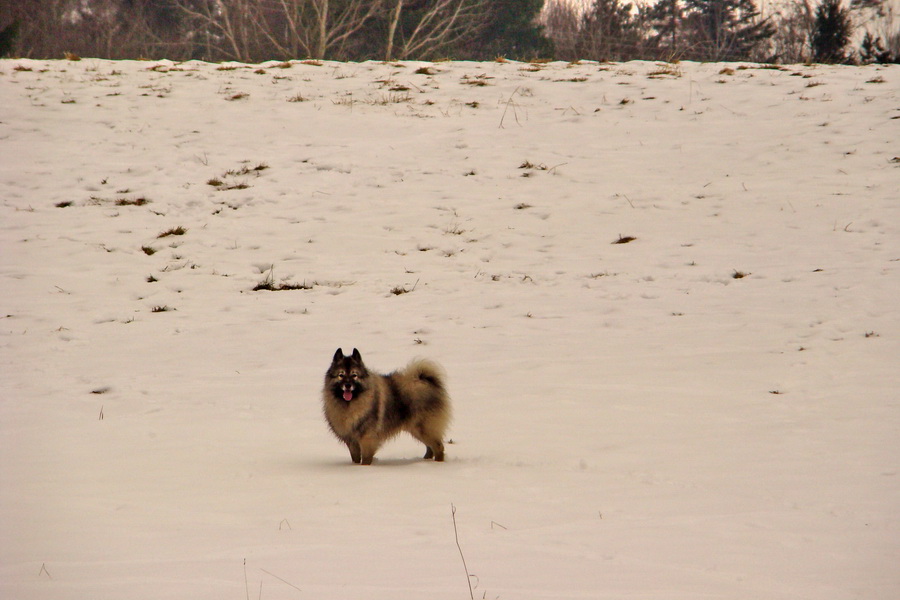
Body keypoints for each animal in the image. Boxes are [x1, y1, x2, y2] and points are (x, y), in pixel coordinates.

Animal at [322, 346, 450, 464]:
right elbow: (356, 458)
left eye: (354, 375)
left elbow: (366, 459)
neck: (350, 404)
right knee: (430, 447)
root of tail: (426, 380)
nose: (348, 385)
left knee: (438, 447)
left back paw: (437, 464)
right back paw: (425, 461)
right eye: (341, 375)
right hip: (418, 430)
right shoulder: (352, 441)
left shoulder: (367, 439)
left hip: (424, 428)